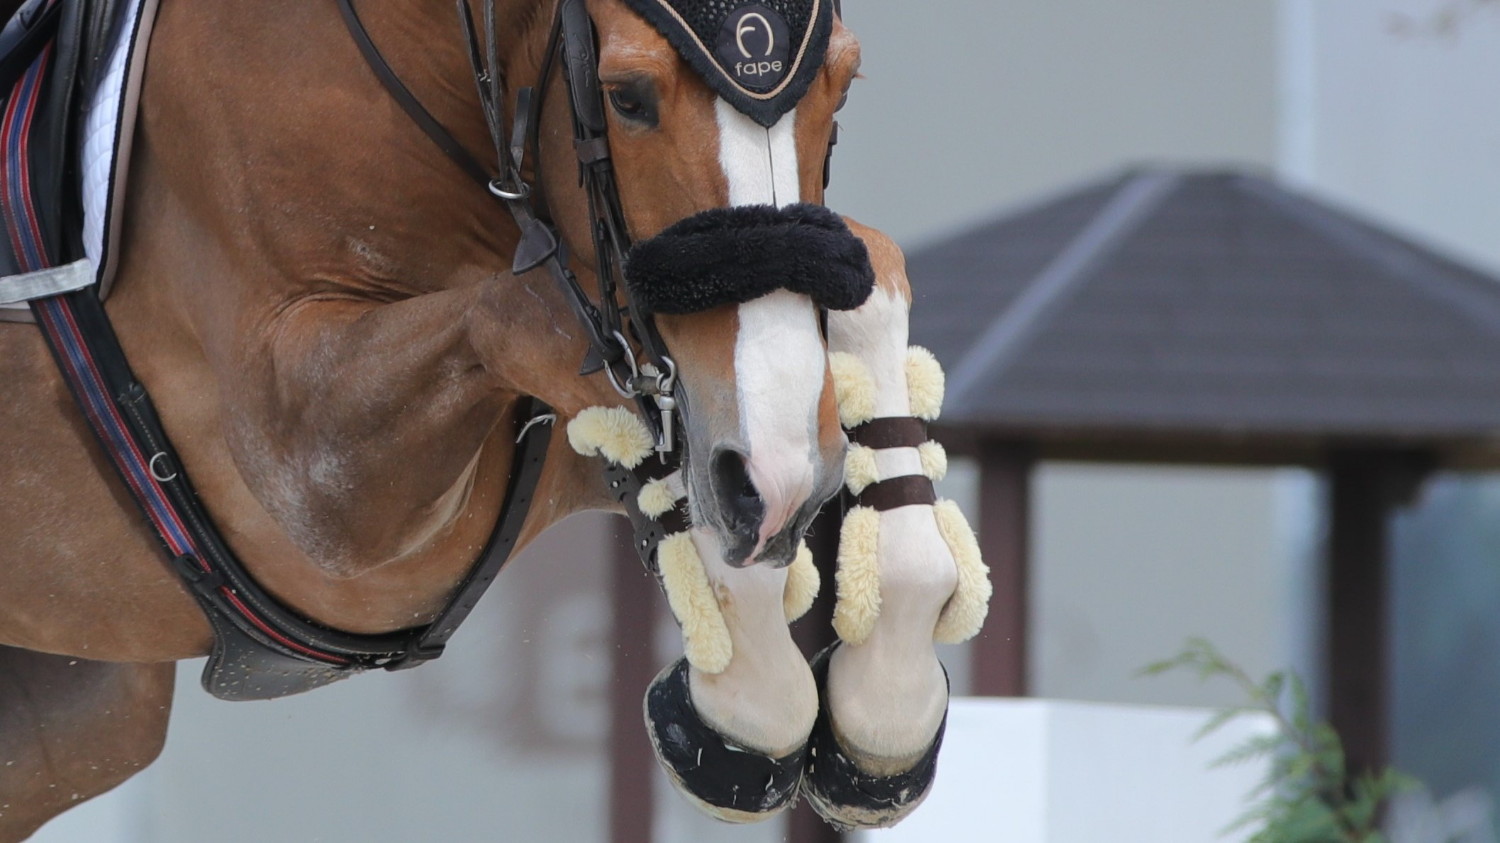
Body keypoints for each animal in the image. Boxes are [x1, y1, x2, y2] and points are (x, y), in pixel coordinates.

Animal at [0, 0, 986, 838]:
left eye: (842, 86)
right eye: (627, 98)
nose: (780, 488)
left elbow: (869, 267)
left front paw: (880, 705)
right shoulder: (312, 481)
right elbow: (550, 323)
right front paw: (737, 694)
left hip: (71, 724)